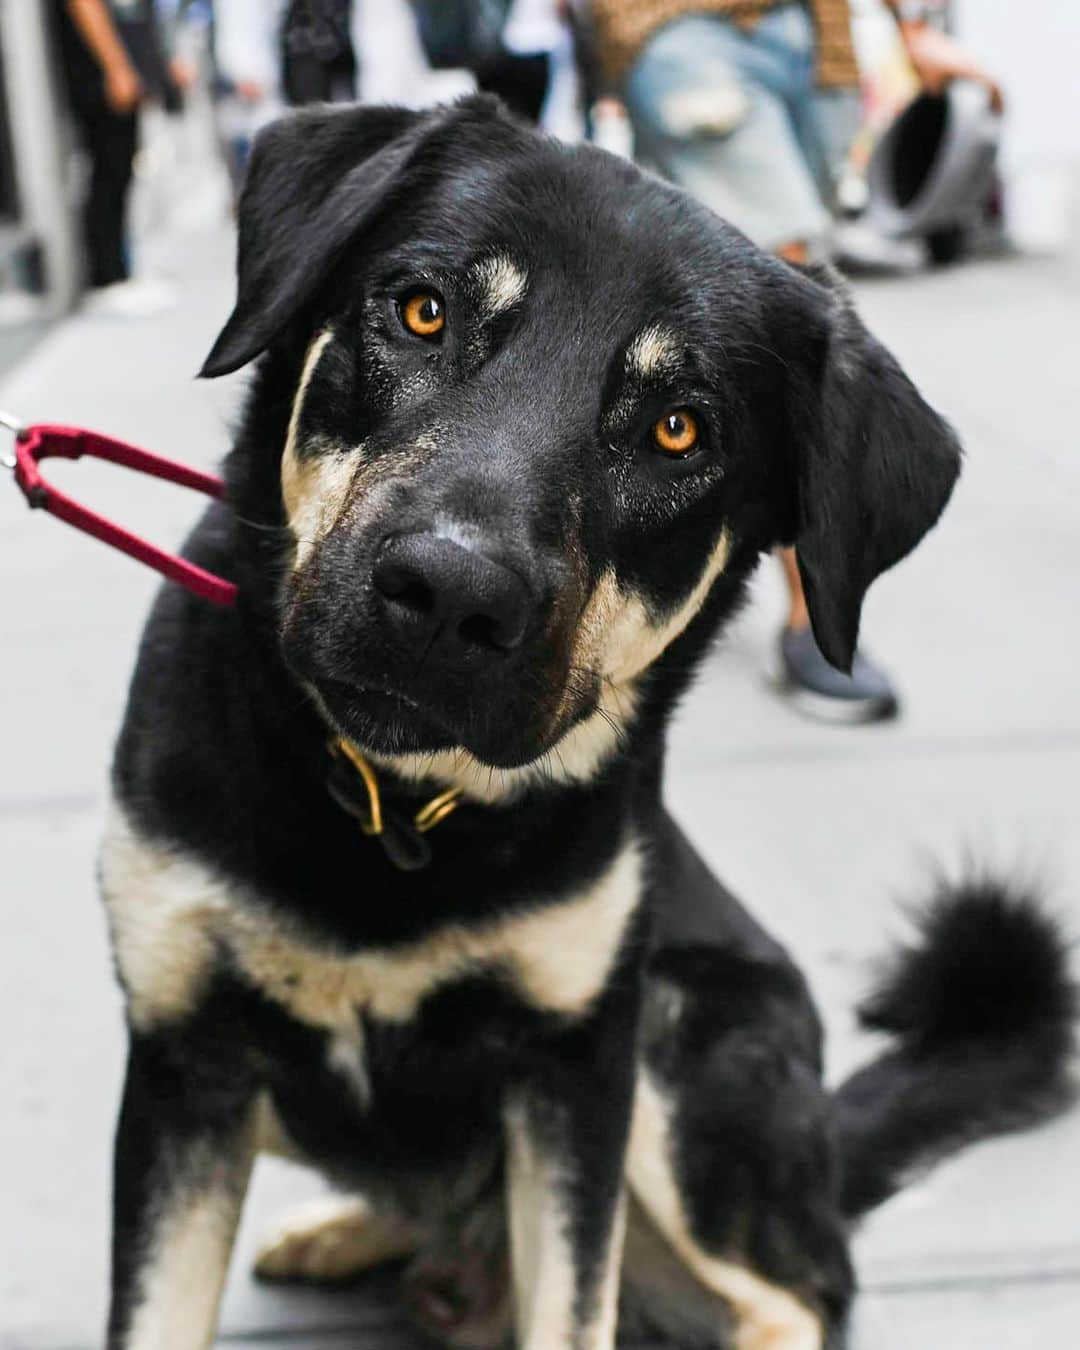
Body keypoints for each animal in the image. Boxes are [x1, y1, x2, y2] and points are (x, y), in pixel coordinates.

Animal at [99, 97, 1069, 1350]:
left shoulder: (578, 1073)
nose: (451, 598)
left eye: (678, 431)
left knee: (804, 1289)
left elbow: (578, 1303)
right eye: (424, 309)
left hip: (682, 1042)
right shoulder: (184, 1064)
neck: (396, 810)